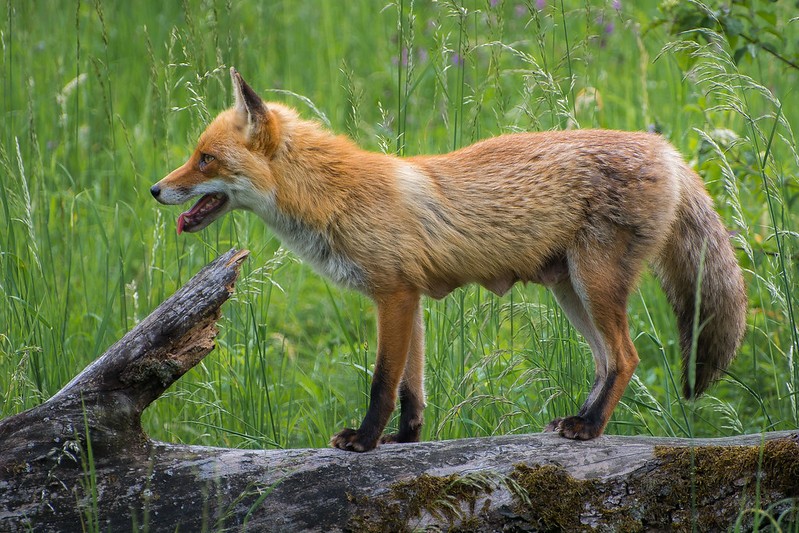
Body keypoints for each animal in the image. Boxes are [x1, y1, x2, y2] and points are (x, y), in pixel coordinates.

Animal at [152, 66, 752, 448]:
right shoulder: (409, 299)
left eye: (204, 160)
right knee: (608, 362)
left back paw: (590, 428)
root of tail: (666, 149)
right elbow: (411, 391)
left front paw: (364, 441)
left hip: (594, 284)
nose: (157, 190)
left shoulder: (393, 296)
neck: (337, 197)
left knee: (626, 357)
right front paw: (403, 442)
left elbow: (382, 383)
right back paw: (580, 421)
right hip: (571, 291)